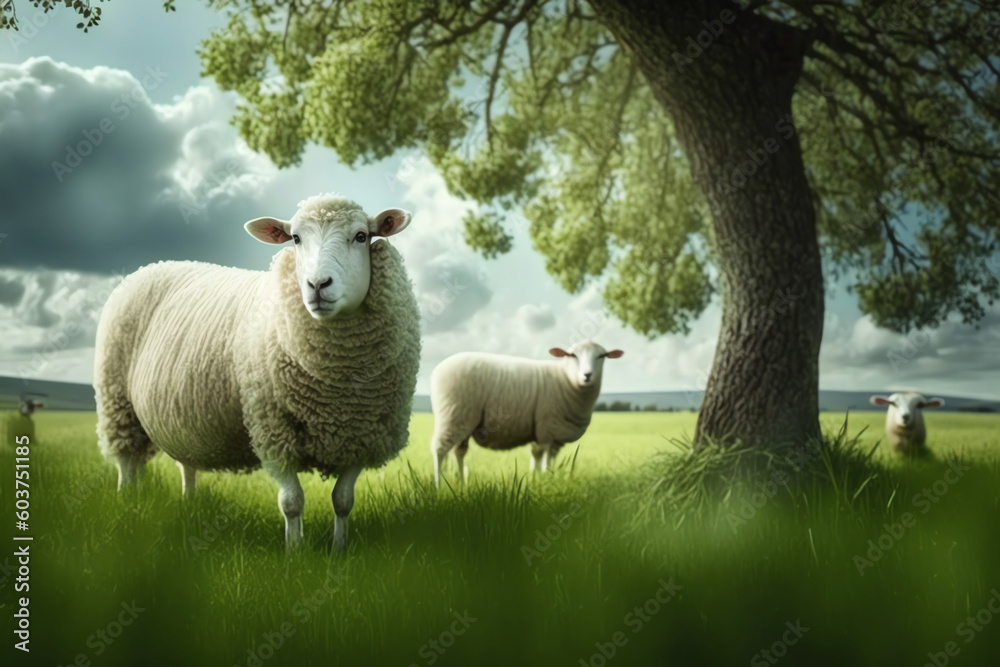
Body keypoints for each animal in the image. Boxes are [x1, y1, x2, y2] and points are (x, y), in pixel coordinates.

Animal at [94, 193, 421, 552]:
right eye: (295, 239)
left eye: (361, 236)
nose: (318, 285)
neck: (337, 381)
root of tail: (153, 265)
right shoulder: (273, 431)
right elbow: (292, 502)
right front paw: (295, 553)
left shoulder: (362, 434)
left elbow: (343, 501)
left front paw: (339, 550)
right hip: (118, 402)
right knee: (127, 463)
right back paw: (128, 506)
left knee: (186, 465)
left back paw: (188, 503)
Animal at [429, 340, 623, 485]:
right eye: (572, 355)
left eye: (602, 356)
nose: (587, 375)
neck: (567, 380)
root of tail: (437, 370)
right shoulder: (546, 429)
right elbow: (544, 460)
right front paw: (544, 481)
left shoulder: (554, 435)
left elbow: (543, 459)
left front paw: (539, 481)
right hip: (453, 415)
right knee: (439, 449)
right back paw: (439, 487)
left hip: (462, 420)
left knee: (457, 452)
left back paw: (460, 483)